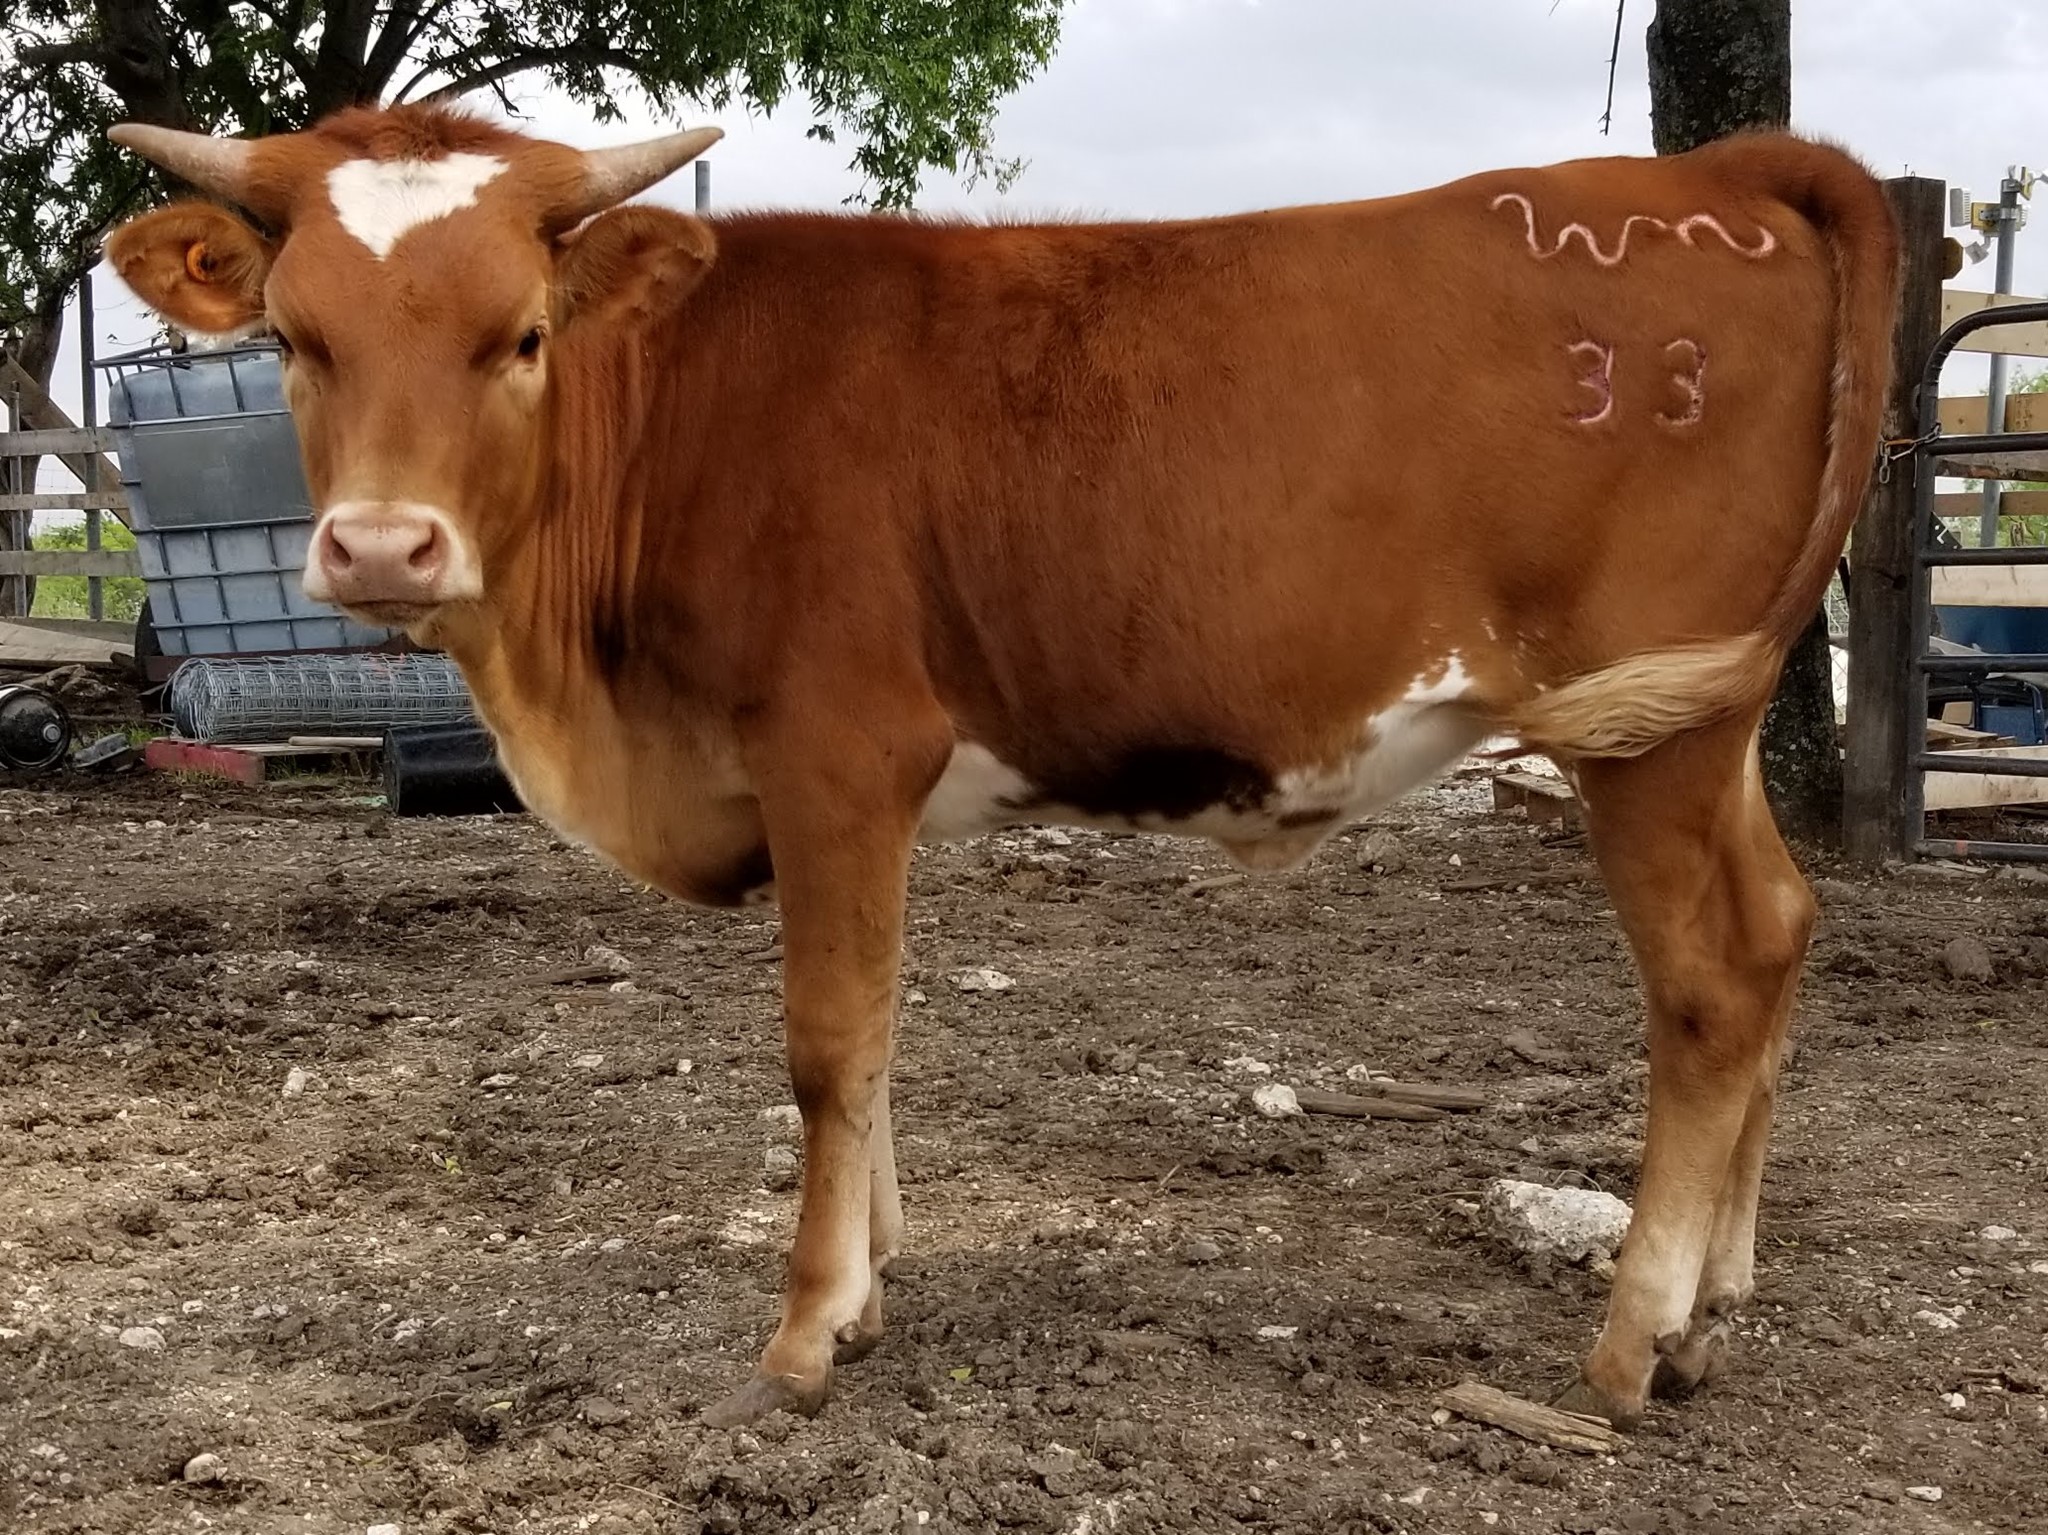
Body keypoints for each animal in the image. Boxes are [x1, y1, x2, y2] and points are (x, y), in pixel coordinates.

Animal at [103, 104, 1899, 1432]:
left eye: (522, 332)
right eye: (294, 338)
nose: (381, 547)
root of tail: (1713, 173)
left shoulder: (837, 752)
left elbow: (828, 1043)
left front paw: (809, 1325)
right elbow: (885, 1031)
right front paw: (875, 1274)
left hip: (1647, 726)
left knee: (1709, 980)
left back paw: (1639, 1334)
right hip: (1709, 729)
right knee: (1780, 927)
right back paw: (1719, 1297)